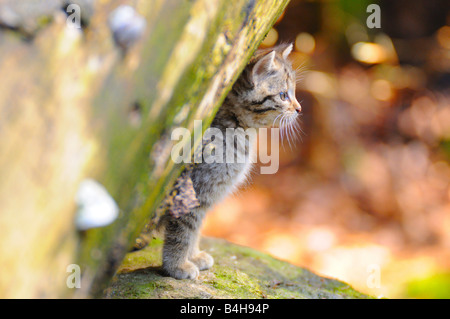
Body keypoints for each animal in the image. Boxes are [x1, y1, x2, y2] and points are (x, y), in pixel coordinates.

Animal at [142, 43, 300, 280]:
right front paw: (178, 266)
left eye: (294, 92)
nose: (300, 109)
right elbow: (183, 232)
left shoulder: (205, 197)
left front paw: (194, 256)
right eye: (283, 95)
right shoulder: (191, 190)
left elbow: (196, 229)